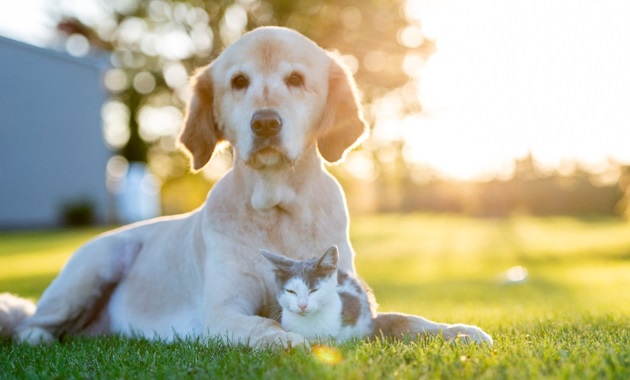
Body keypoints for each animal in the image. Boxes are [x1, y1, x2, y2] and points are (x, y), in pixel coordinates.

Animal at [0, 26, 494, 348]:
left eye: (296, 79)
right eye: (238, 82)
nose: (266, 123)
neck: (276, 209)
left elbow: (404, 319)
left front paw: (456, 331)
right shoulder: (223, 312)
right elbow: (268, 328)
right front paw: (295, 342)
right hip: (96, 264)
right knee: (30, 323)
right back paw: (38, 337)